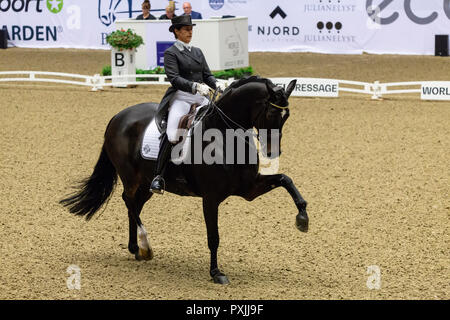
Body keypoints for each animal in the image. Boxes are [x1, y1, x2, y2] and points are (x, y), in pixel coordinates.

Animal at [60, 75, 310, 284]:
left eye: (287, 116)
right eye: (271, 114)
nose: (273, 152)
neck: (225, 137)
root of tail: (118, 116)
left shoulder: (249, 189)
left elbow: (286, 180)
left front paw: (302, 219)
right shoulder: (210, 198)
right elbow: (213, 237)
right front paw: (216, 273)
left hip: (146, 184)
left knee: (135, 205)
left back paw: (135, 249)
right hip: (131, 178)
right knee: (128, 201)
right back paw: (145, 246)